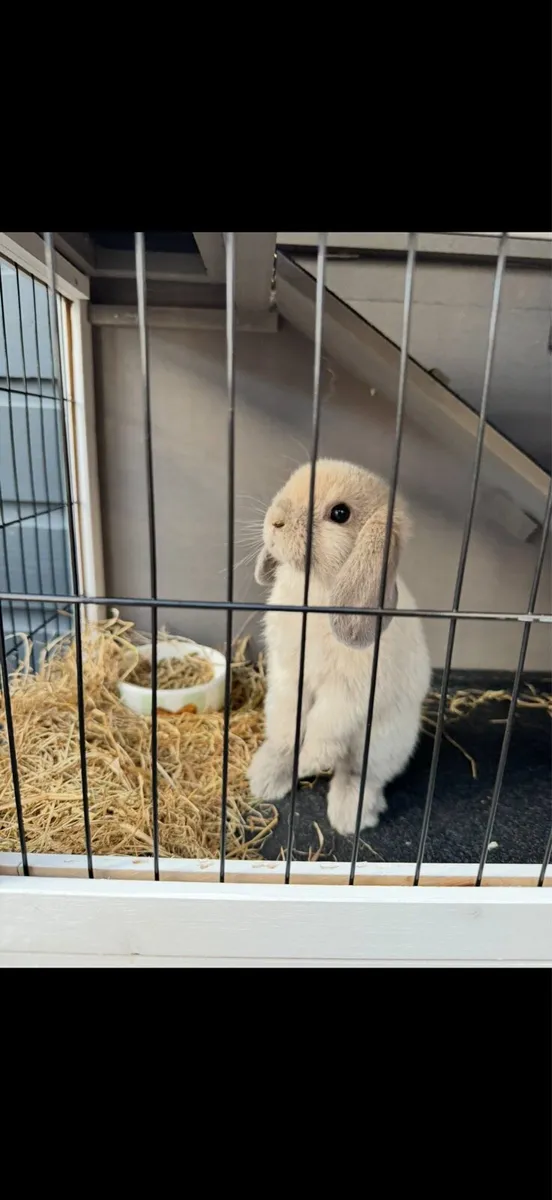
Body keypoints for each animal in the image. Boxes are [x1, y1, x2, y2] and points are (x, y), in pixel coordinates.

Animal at [247, 459, 431, 835]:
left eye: (340, 513)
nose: (275, 521)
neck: (315, 590)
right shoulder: (290, 676)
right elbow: (290, 722)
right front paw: (289, 761)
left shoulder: (348, 694)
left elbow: (323, 727)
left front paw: (308, 764)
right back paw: (266, 777)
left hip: (381, 744)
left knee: (358, 773)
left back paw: (350, 816)